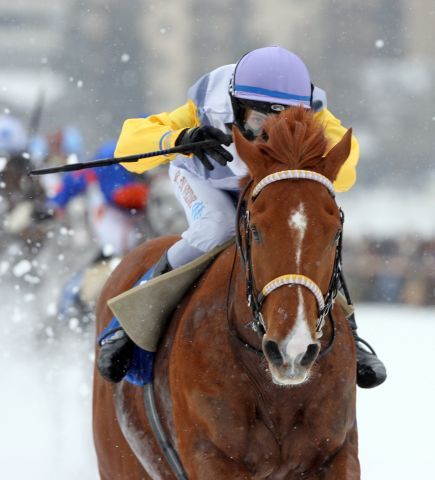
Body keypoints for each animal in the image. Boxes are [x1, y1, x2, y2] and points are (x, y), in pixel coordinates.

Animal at [93, 109, 362, 480]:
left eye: (334, 231)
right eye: (256, 229)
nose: (292, 350)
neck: (276, 391)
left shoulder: (338, 452)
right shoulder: (212, 457)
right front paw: (194, 136)